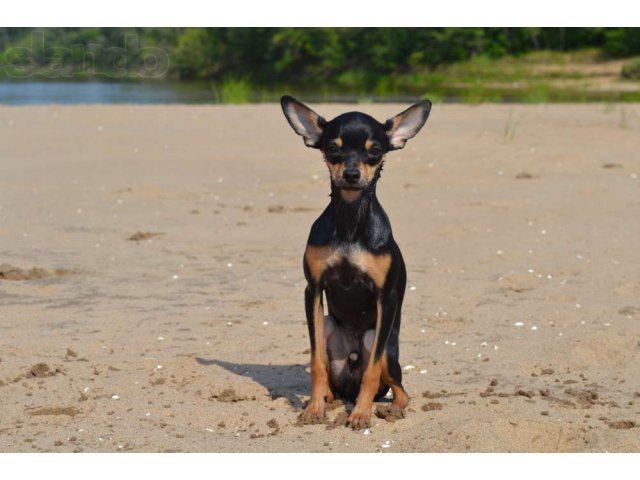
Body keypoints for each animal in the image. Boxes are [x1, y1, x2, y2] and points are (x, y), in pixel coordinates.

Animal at [278, 95, 430, 430]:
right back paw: (327, 398)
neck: (350, 221)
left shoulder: (385, 298)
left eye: (375, 151)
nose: (350, 174)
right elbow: (316, 361)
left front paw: (361, 414)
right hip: (327, 325)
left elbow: (371, 371)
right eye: (333, 149)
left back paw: (389, 408)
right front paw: (313, 409)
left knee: (399, 389)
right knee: (332, 377)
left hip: (382, 345)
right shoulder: (313, 290)